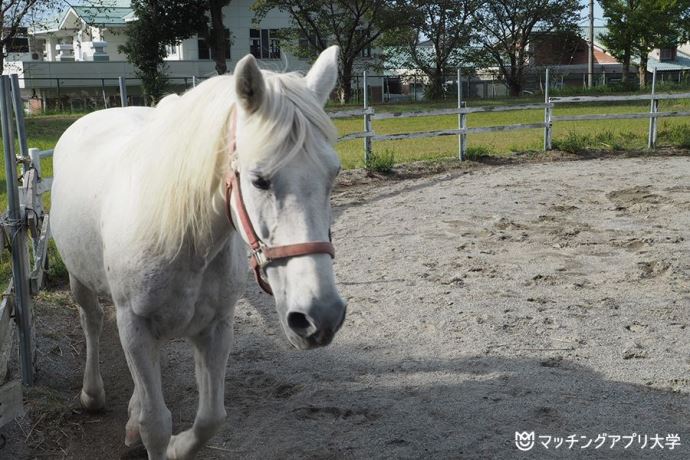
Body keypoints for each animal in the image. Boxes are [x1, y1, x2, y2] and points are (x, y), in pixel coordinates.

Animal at [50, 46, 347, 459]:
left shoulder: (216, 328)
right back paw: (92, 394)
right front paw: (160, 436)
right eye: (259, 180)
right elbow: (156, 424)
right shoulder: (135, 325)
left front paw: (176, 445)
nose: (321, 316)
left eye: (333, 175)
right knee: (91, 321)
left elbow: (210, 419)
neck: (188, 241)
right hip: (79, 279)